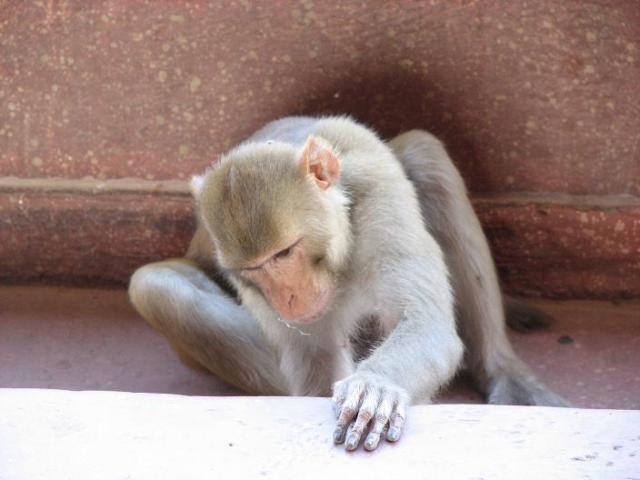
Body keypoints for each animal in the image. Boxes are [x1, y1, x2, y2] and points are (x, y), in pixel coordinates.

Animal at [127, 114, 568, 452]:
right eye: (251, 270)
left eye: (284, 253)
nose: (287, 298)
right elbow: (315, 357)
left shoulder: (381, 199)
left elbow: (425, 324)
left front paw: (376, 388)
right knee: (155, 286)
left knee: (425, 155)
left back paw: (499, 370)